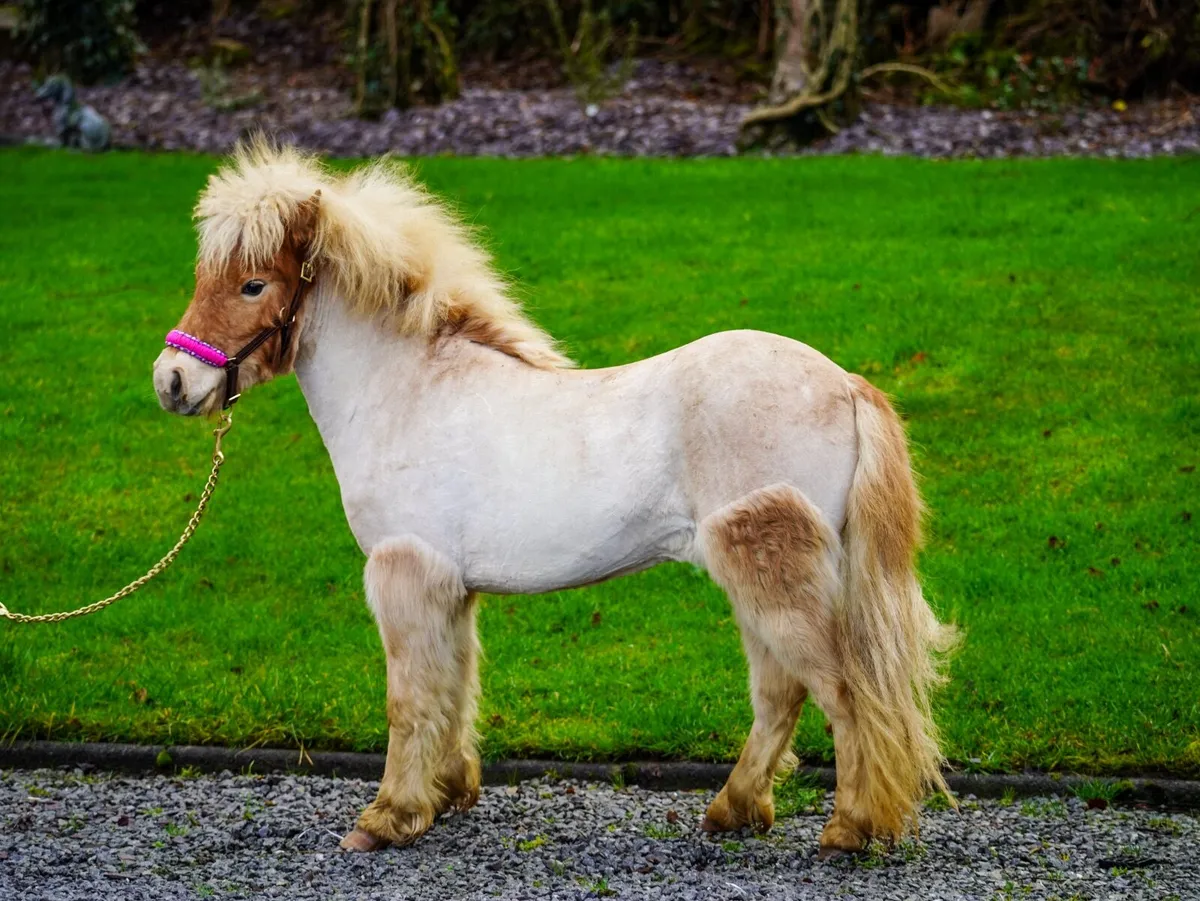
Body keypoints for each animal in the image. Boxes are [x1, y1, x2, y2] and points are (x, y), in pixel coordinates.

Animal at [152, 140, 957, 857]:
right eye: (205, 273)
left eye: (254, 284)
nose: (172, 382)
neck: (407, 390)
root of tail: (845, 384)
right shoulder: (450, 586)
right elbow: (454, 685)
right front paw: (444, 795)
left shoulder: (404, 570)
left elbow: (408, 699)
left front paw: (387, 819)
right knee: (782, 693)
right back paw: (734, 809)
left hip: (770, 567)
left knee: (843, 692)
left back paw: (849, 828)